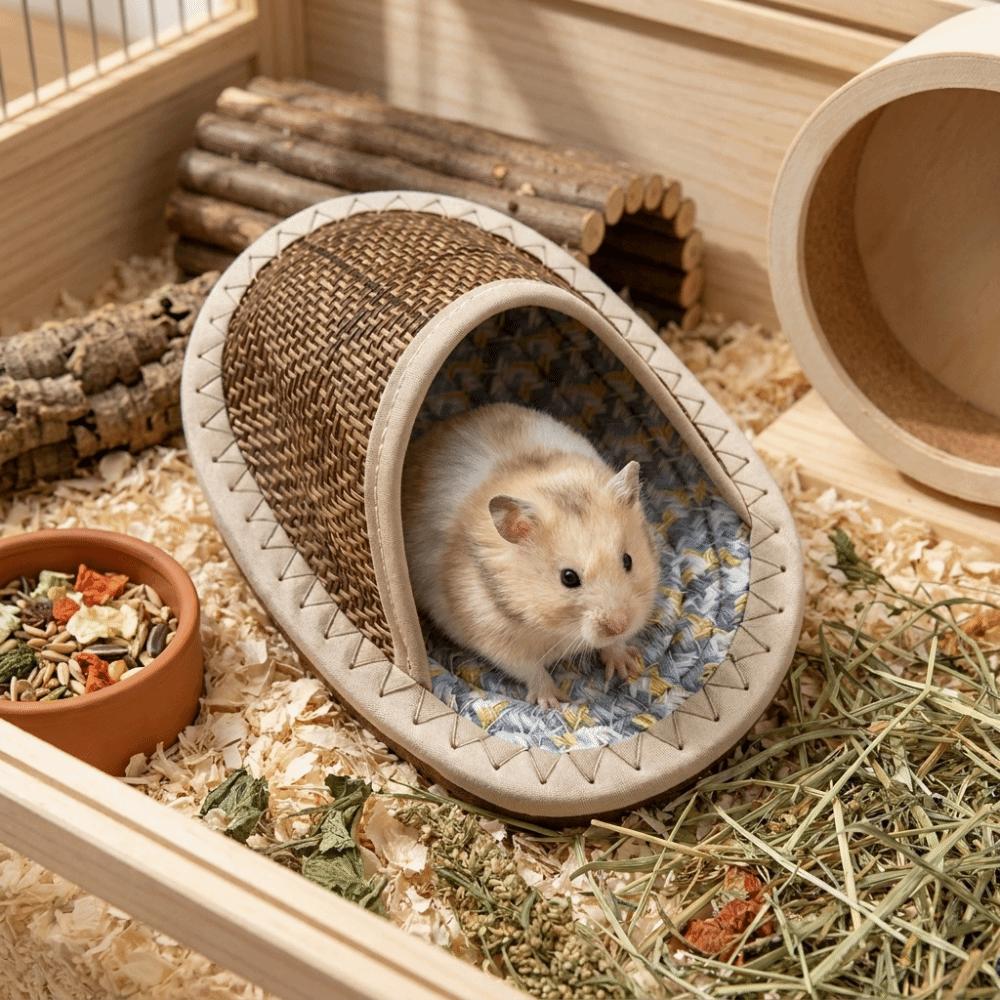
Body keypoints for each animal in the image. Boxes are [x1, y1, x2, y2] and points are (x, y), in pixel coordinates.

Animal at [401, 403, 660, 709]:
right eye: (569, 578)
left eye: (628, 560)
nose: (619, 625)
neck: (558, 629)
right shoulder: (494, 638)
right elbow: (530, 670)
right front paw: (553, 702)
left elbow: (612, 645)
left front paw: (627, 667)